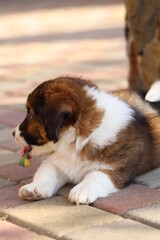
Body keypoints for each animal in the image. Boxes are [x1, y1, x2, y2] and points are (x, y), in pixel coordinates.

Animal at [13, 77, 160, 204]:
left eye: (30, 115)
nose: (13, 133)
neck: (77, 141)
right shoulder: (56, 162)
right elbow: (45, 172)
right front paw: (34, 188)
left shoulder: (117, 169)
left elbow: (95, 175)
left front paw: (81, 190)